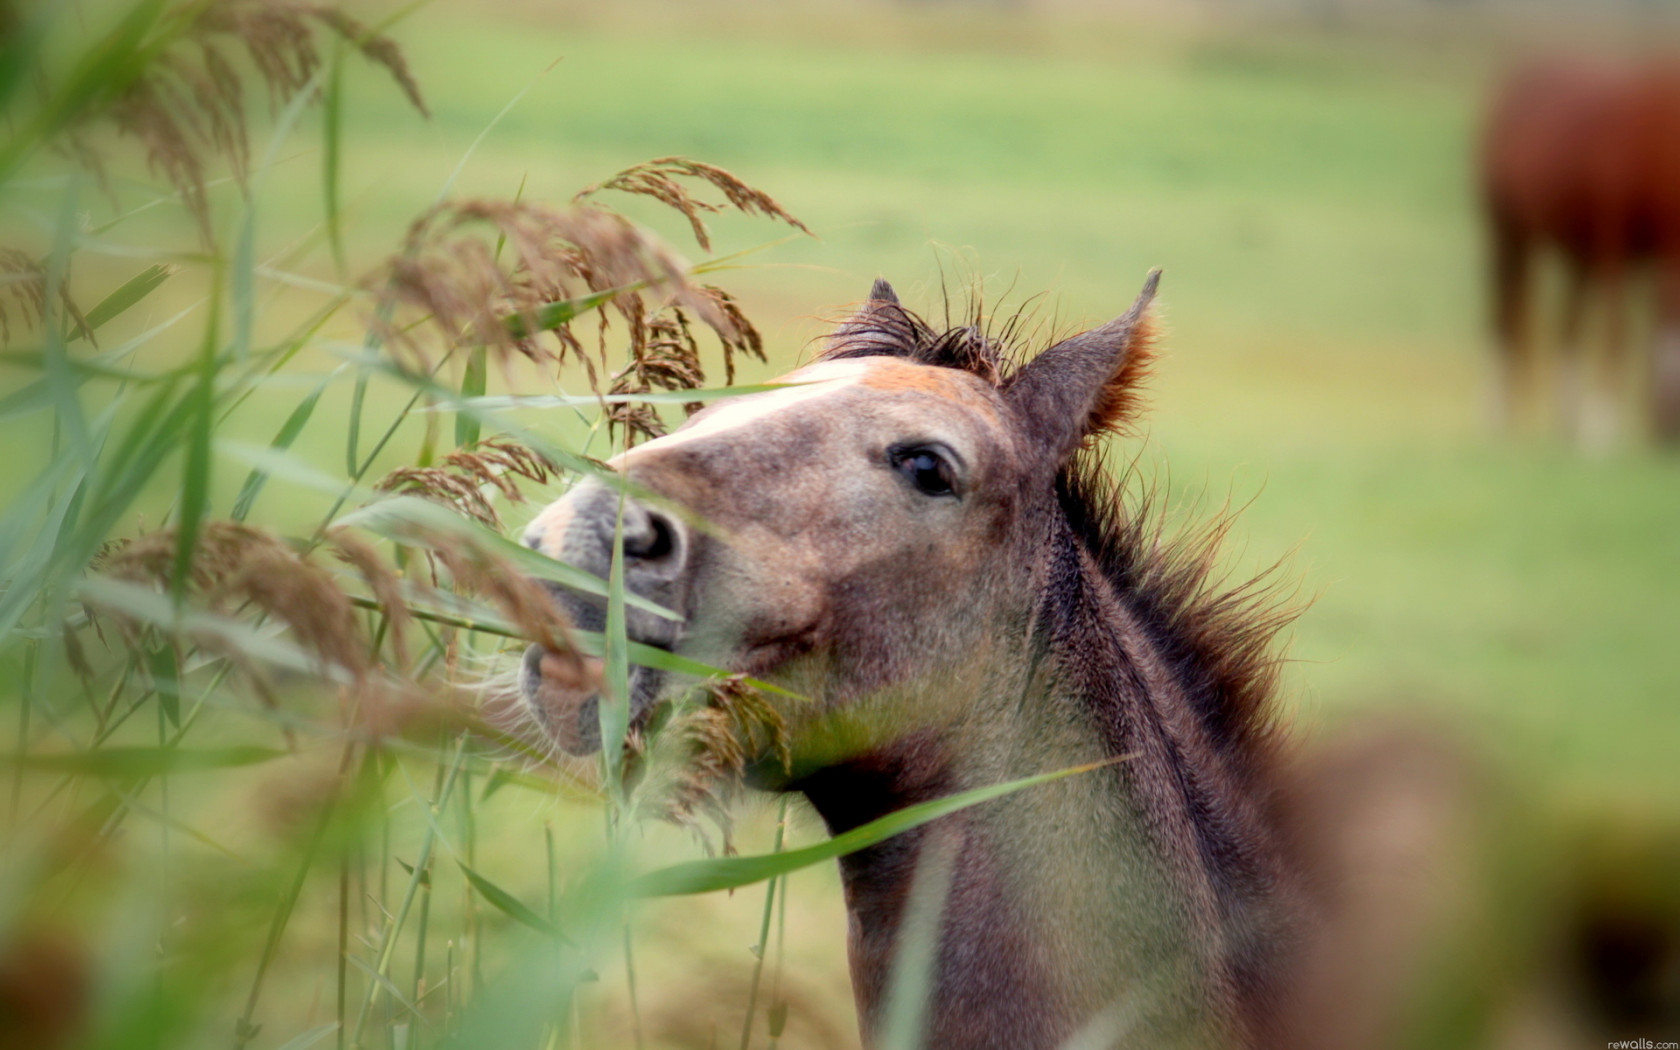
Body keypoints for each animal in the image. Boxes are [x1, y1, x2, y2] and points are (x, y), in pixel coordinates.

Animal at [1478, 60, 1680, 446]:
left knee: (1566, 324)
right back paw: (1497, 418)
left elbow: (1647, 331)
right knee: (1505, 314)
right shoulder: (1613, 243)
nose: (1666, 437)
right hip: (1508, 234)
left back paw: (1565, 420)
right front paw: (1600, 429)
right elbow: (1617, 332)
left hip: (1575, 255)